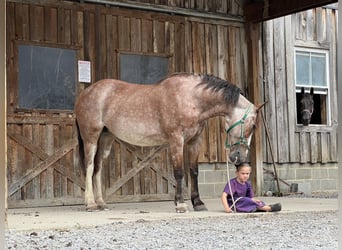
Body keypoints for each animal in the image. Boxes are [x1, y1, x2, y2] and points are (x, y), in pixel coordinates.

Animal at [74, 73, 262, 213]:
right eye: (253, 125)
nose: (239, 157)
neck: (191, 98)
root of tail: (86, 93)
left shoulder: (195, 141)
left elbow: (193, 172)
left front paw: (198, 203)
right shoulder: (176, 140)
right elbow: (179, 172)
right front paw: (180, 204)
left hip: (106, 138)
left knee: (98, 168)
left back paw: (101, 203)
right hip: (91, 138)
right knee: (89, 166)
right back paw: (91, 204)